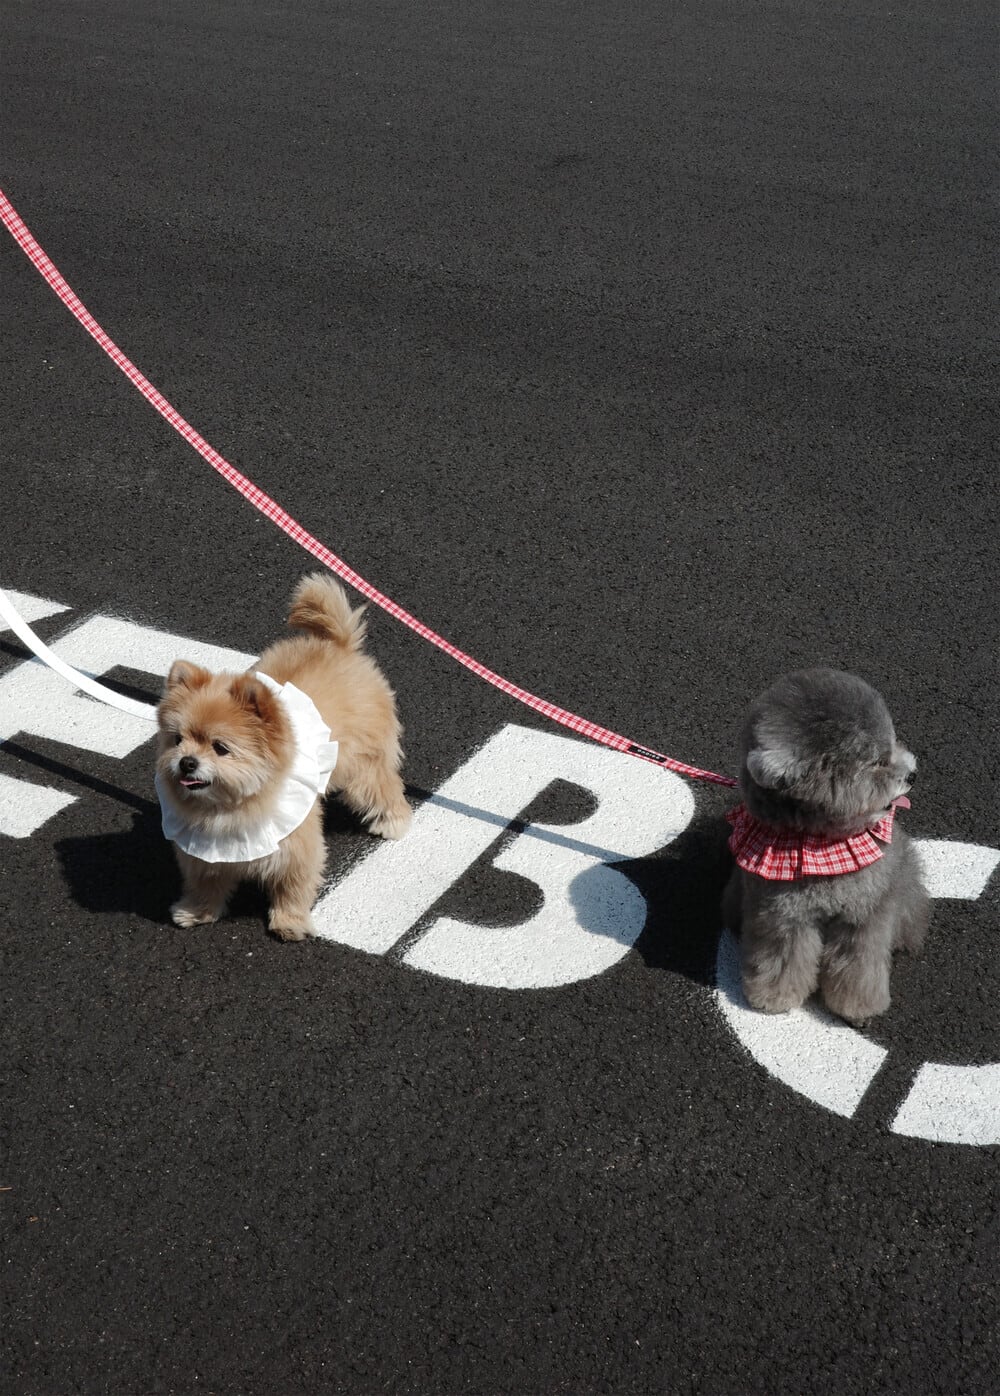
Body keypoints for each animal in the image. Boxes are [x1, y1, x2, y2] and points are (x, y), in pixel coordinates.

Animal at [155, 573, 411, 940]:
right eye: (177, 740)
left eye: (220, 747)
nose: (187, 762)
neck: (229, 808)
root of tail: (338, 645)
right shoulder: (204, 854)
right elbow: (205, 884)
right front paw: (196, 913)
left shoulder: (296, 849)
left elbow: (294, 886)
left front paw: (289, 923)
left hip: (362, 767)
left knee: (383, 788)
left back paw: (393, 821)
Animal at [722, 667, 929, 1024]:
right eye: (877, 761)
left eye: (890, 746)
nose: (912, 774)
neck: (823, 844)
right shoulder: (783, 916)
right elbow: (781, 959)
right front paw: (773, 997)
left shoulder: (864, 913)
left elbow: (858, 967)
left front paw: (857, 1008)